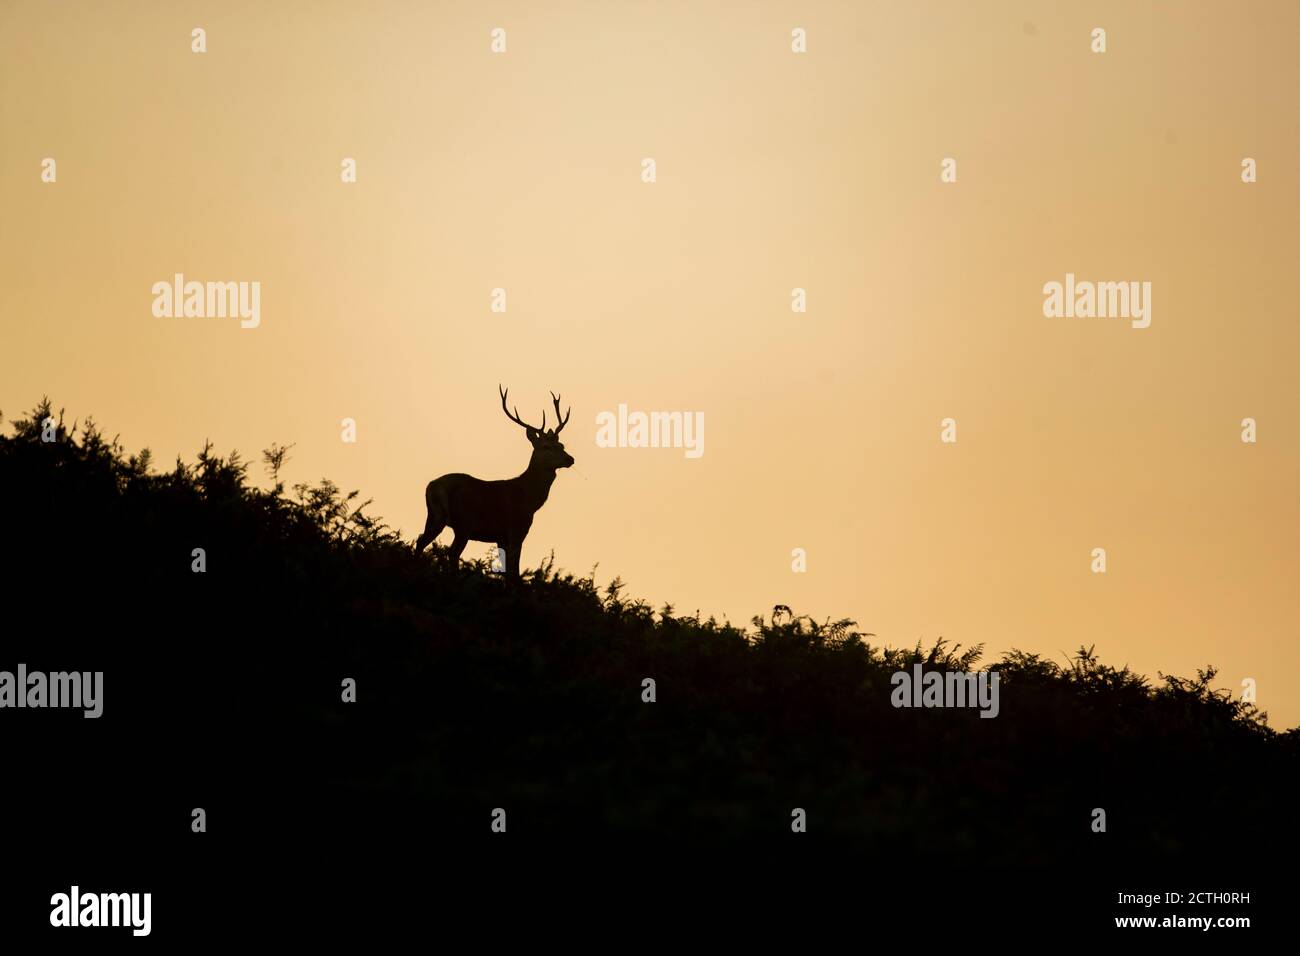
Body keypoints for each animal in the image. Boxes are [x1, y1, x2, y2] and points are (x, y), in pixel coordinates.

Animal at [416, 387, 574, 574]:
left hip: (434, 516)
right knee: (452, 552)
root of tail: (431, 487)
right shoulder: (516, 530)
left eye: (562, 445)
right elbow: (514, 573)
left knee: (420, 540)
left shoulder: (500, 537)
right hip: (463, 522)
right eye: (546, 446)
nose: (570, 459)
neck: (528, 500)